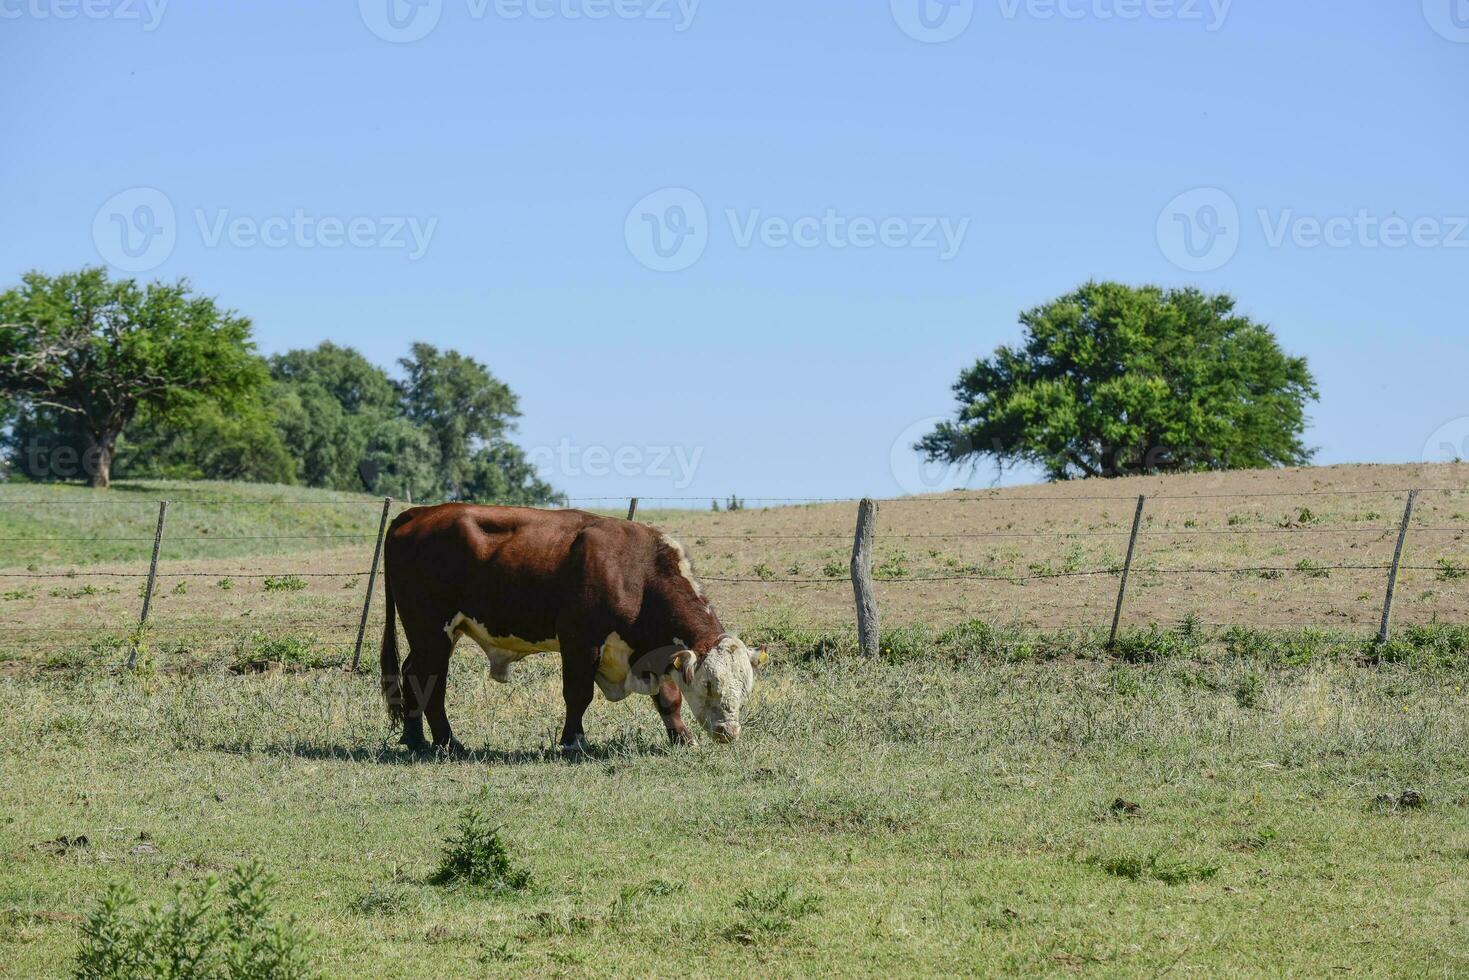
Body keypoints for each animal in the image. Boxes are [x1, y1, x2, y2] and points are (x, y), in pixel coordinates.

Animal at [379, 502, 763, 758]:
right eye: (710, 685)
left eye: (745, 688)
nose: (729, 731)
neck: (636, 572)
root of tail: (416, 513)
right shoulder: (580, 641)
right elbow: (578, 695)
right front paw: (572, 741)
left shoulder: (652, 651)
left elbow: (668, 698)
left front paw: (682, 739)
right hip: (431, 629)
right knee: (430, 681)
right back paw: (447, 743)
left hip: (433, 634)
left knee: (411, 673)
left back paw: (415, 740)